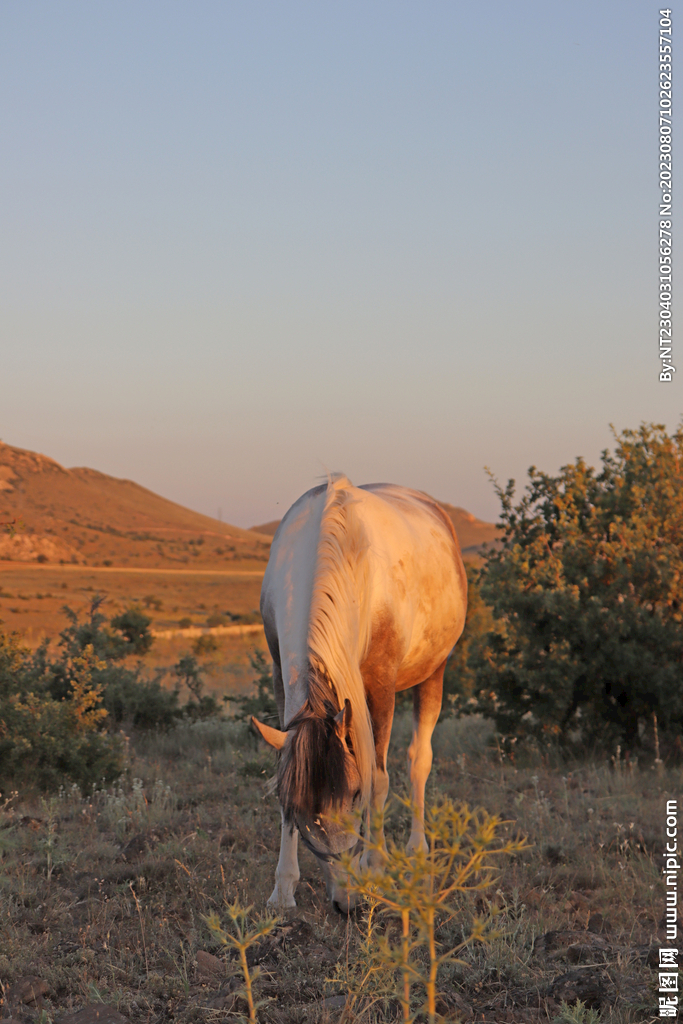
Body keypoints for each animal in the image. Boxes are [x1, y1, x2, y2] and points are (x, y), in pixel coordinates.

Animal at [251, 475, 467, 911]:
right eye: (303, 808)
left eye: (352, 796)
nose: (346, 903)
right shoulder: (281, 674)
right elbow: (286, 772)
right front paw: (283, 890)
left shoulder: (380, 686)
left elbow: (378, 778)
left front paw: (376, 869)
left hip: (433, 672)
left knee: (419, 760)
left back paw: (417, 851)